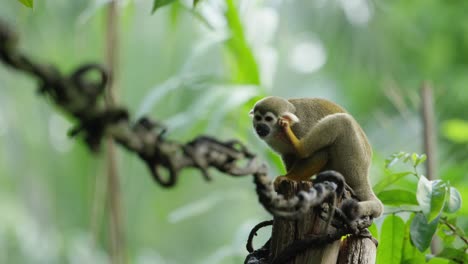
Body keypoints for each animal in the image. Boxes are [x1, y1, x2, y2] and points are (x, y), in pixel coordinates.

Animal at [250, 96, 382, 219]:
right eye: (258, 118)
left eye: (268, 119)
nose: (260, 126)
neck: (277, 132)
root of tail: (364, 176)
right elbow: (288, 155)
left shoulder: (299, 128)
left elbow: (320, 155)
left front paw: (288, 177)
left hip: (355, 162)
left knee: (343, 121)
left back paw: (300, 148)